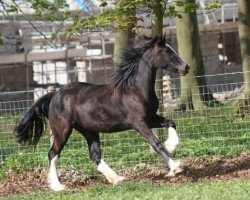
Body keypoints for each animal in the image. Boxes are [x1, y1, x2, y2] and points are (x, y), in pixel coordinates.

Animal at [13, 35, 189, 191]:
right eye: (167, 51)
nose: (186, 67)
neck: (135, 90)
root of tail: (54, 95)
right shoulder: (138, 123)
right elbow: (156, 143)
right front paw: (175, 167)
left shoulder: (151, 118)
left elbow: (171, 122)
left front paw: (171, 145)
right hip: (62, 131)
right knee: (53, 154)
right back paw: (58, 186)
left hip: (89, 130)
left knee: (95, 155)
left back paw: (117, 178)